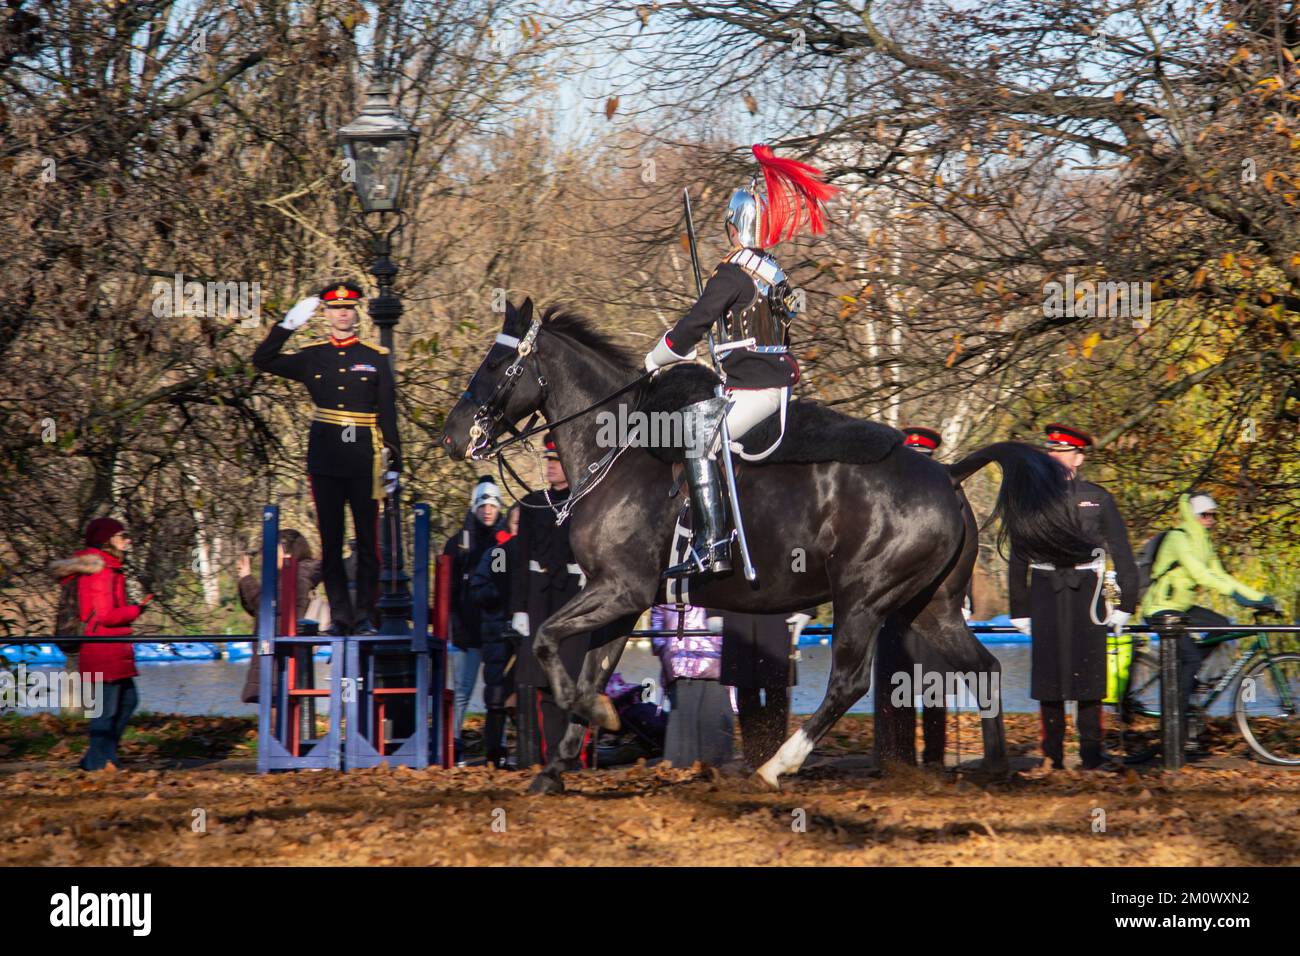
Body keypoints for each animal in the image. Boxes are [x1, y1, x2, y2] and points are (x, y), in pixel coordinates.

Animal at [441, 303, 1092, 796]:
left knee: (848, 684)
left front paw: (598, 720)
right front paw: (556, 767)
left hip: (864, 601)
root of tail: (948, 476)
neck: (620, 452)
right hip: (929, 608)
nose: (452, 435)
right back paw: (996, 771)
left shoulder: (618, 590)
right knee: (982, 670)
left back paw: (777, 766)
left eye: (496, 361)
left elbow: (549, 641)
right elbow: (588, 672)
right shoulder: (620, 601)